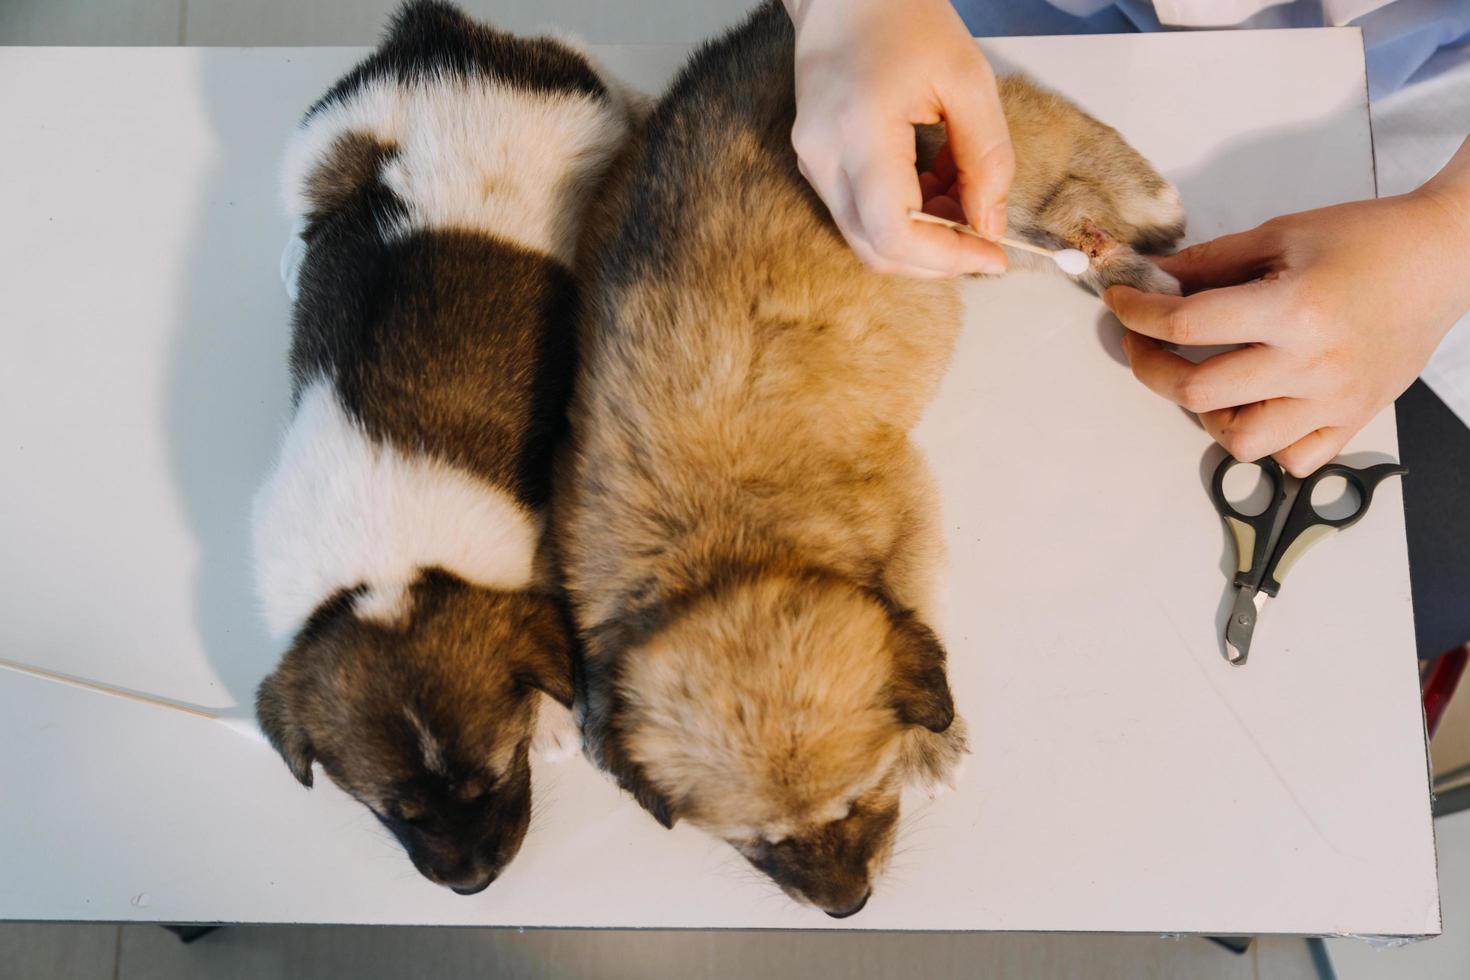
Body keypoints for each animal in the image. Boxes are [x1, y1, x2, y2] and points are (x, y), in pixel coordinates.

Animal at [254, 0, 632, 893]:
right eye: (396, 812)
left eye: (494, 776)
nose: (473, 885)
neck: (383, 564)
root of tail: (444, 39)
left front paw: (556, 719)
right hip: (328, 133)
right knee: (311, 194)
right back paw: (294, 253)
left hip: (584, 108)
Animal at [555, 0, 1187, 922]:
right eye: (760, 845)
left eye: (861, 797)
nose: (847, 907)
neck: (720, 549)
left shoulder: (907, 509)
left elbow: (914, 605)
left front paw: (935, 740)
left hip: (970, 150)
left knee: (1047, 147)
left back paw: (1138, 211)